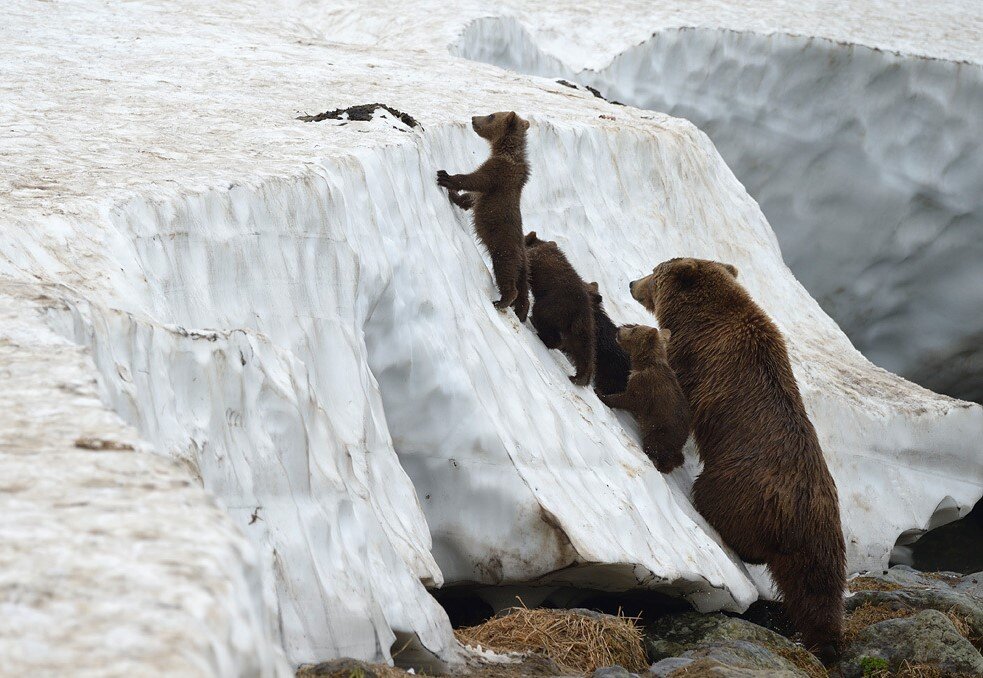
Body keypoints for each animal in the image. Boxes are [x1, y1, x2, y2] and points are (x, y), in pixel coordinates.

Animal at [636, 258, 848, 660]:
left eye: (653, 273)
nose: (630, 283)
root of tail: (800, 512)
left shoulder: (697, 354)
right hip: (824, 534)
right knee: (816, 586)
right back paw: (825, 636)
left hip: (736, 486)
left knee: (719, 507)